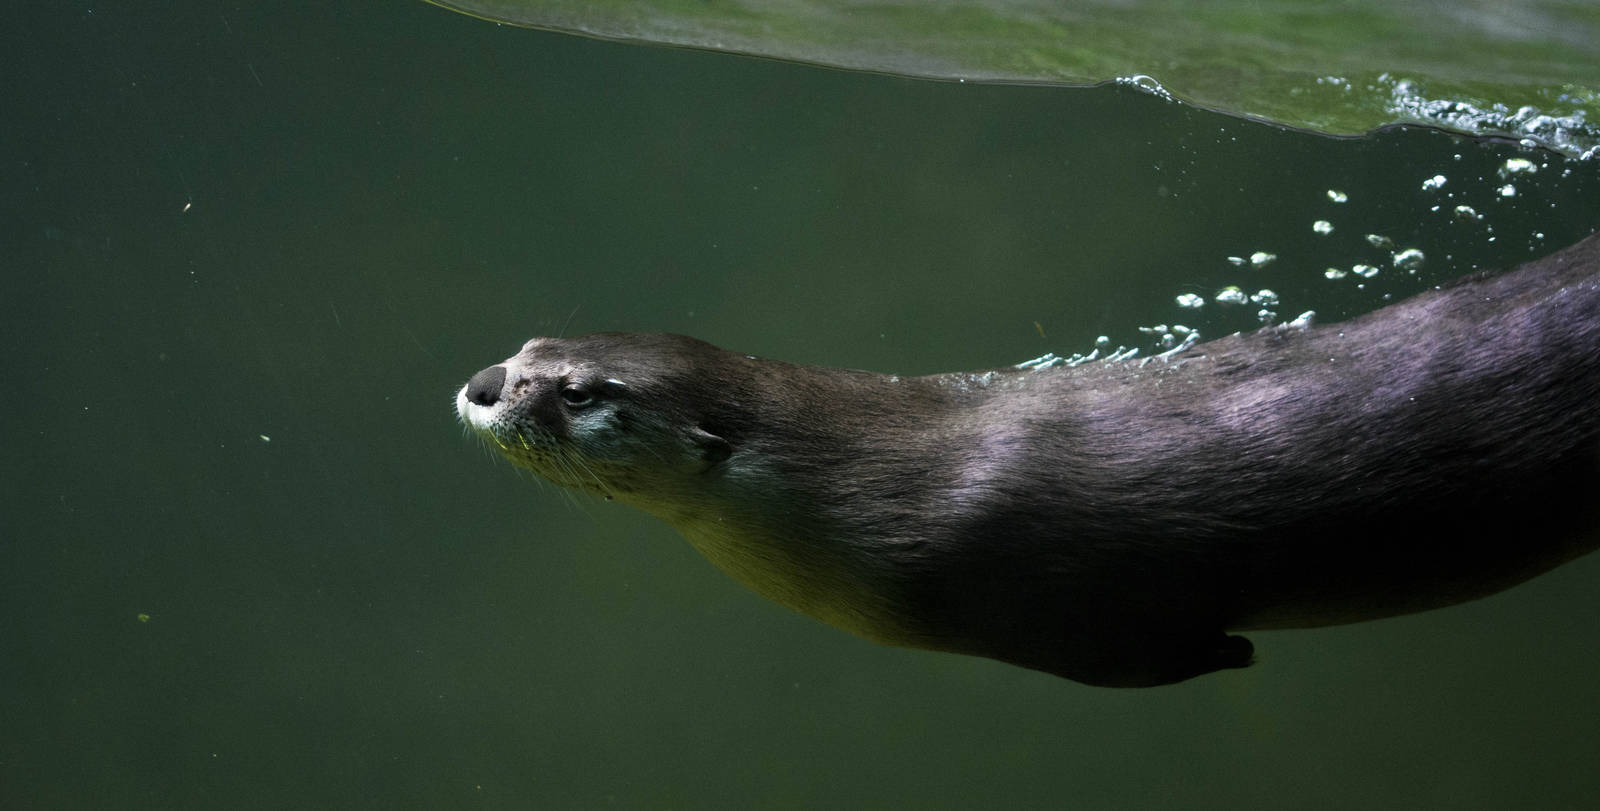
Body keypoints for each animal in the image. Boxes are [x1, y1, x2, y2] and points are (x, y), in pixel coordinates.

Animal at [456, 230, 1600, 687]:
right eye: (528, 346)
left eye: (579, 391)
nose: (483, 384)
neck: (872, 478)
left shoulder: (1021, 588)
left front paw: (1230, 652)